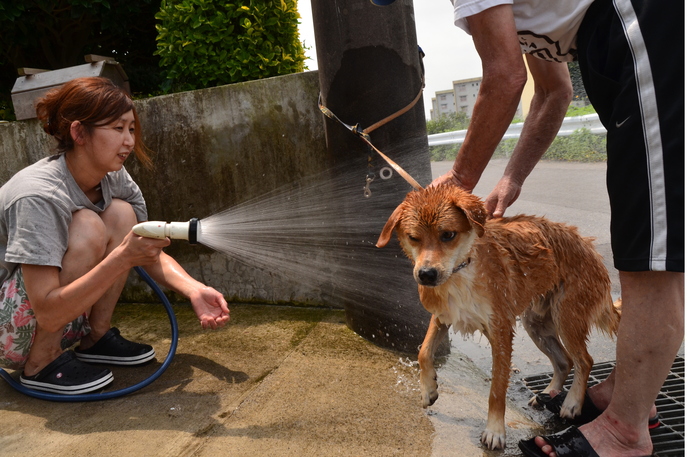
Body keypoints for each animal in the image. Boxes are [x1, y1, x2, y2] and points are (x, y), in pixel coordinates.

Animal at [376, 184, 620, 448]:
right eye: (414, 237)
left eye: (448, 235)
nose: (426, 275)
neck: (464, 269)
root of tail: (590, 247)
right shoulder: (443, 316)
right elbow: (423, 352)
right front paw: (428, 389)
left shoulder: (500, 331)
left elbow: (497, 388)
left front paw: (494, 431)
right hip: (536, 325)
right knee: (564, 361)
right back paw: (547, 395)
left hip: (567, 317)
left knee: (585, 360)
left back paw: (572, 403)